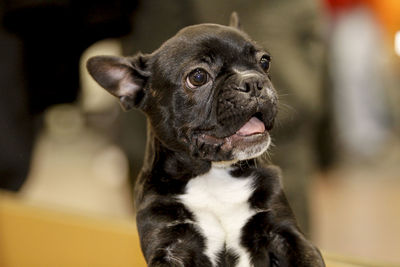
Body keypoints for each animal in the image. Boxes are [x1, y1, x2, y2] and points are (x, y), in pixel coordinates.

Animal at [87, 12, 324, 267]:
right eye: (198, 77)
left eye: (265, 61)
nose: (253, 81)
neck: (214, 176)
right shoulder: (169, 246)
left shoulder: (287, 234)